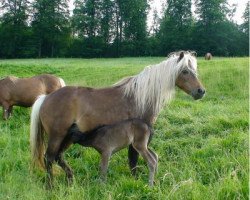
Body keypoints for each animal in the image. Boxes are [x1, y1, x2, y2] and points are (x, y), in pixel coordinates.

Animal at [29, 50, 205, 187]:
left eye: (194, 70)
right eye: (185, 71)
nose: (201, 91)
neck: (139, 96)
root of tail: (46, 97)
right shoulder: (137, 139)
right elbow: (133, 160)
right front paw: (136, 181)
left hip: (67, 137)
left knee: (58, 157)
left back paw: (71, 179)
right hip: (57, 136)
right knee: (49, 158)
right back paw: (51, 186)